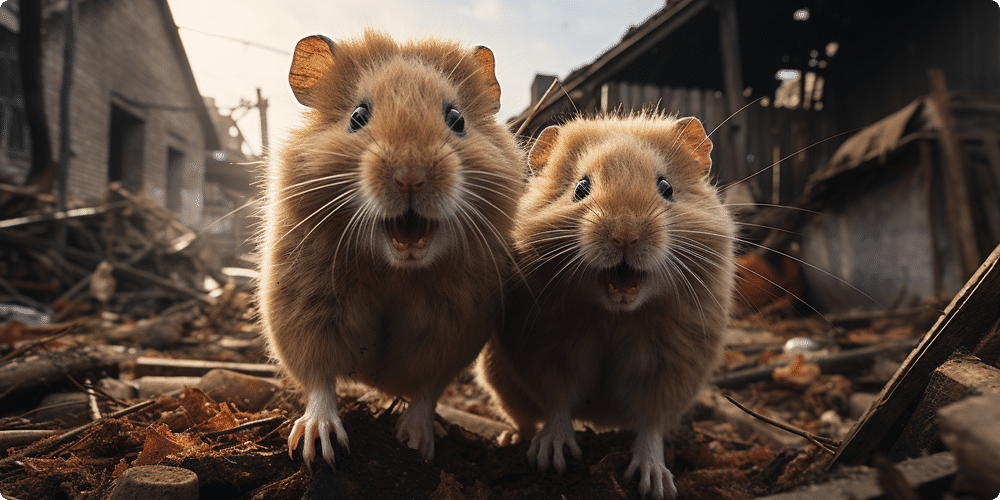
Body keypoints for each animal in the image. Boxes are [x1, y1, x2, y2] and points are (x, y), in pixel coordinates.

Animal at [257, 30, 523, 471]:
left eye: (457, 119)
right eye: (357, 115)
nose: (410, 176)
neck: (395, 269)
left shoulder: (453, 331)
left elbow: (429, 389)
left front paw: (416, 444)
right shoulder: (304, 313)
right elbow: (319, 379)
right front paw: (320, 447)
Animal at [478, 114, 735, 499]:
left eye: (667, 188)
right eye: (580, 188)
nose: (625, 236)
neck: (616, 314)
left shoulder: (671, 367)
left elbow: (651, 425)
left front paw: (654, 483)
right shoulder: (547, 349)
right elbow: (557, 403)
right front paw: (552, 460)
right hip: (500, 381)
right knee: (525, 420)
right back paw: (508, 439)